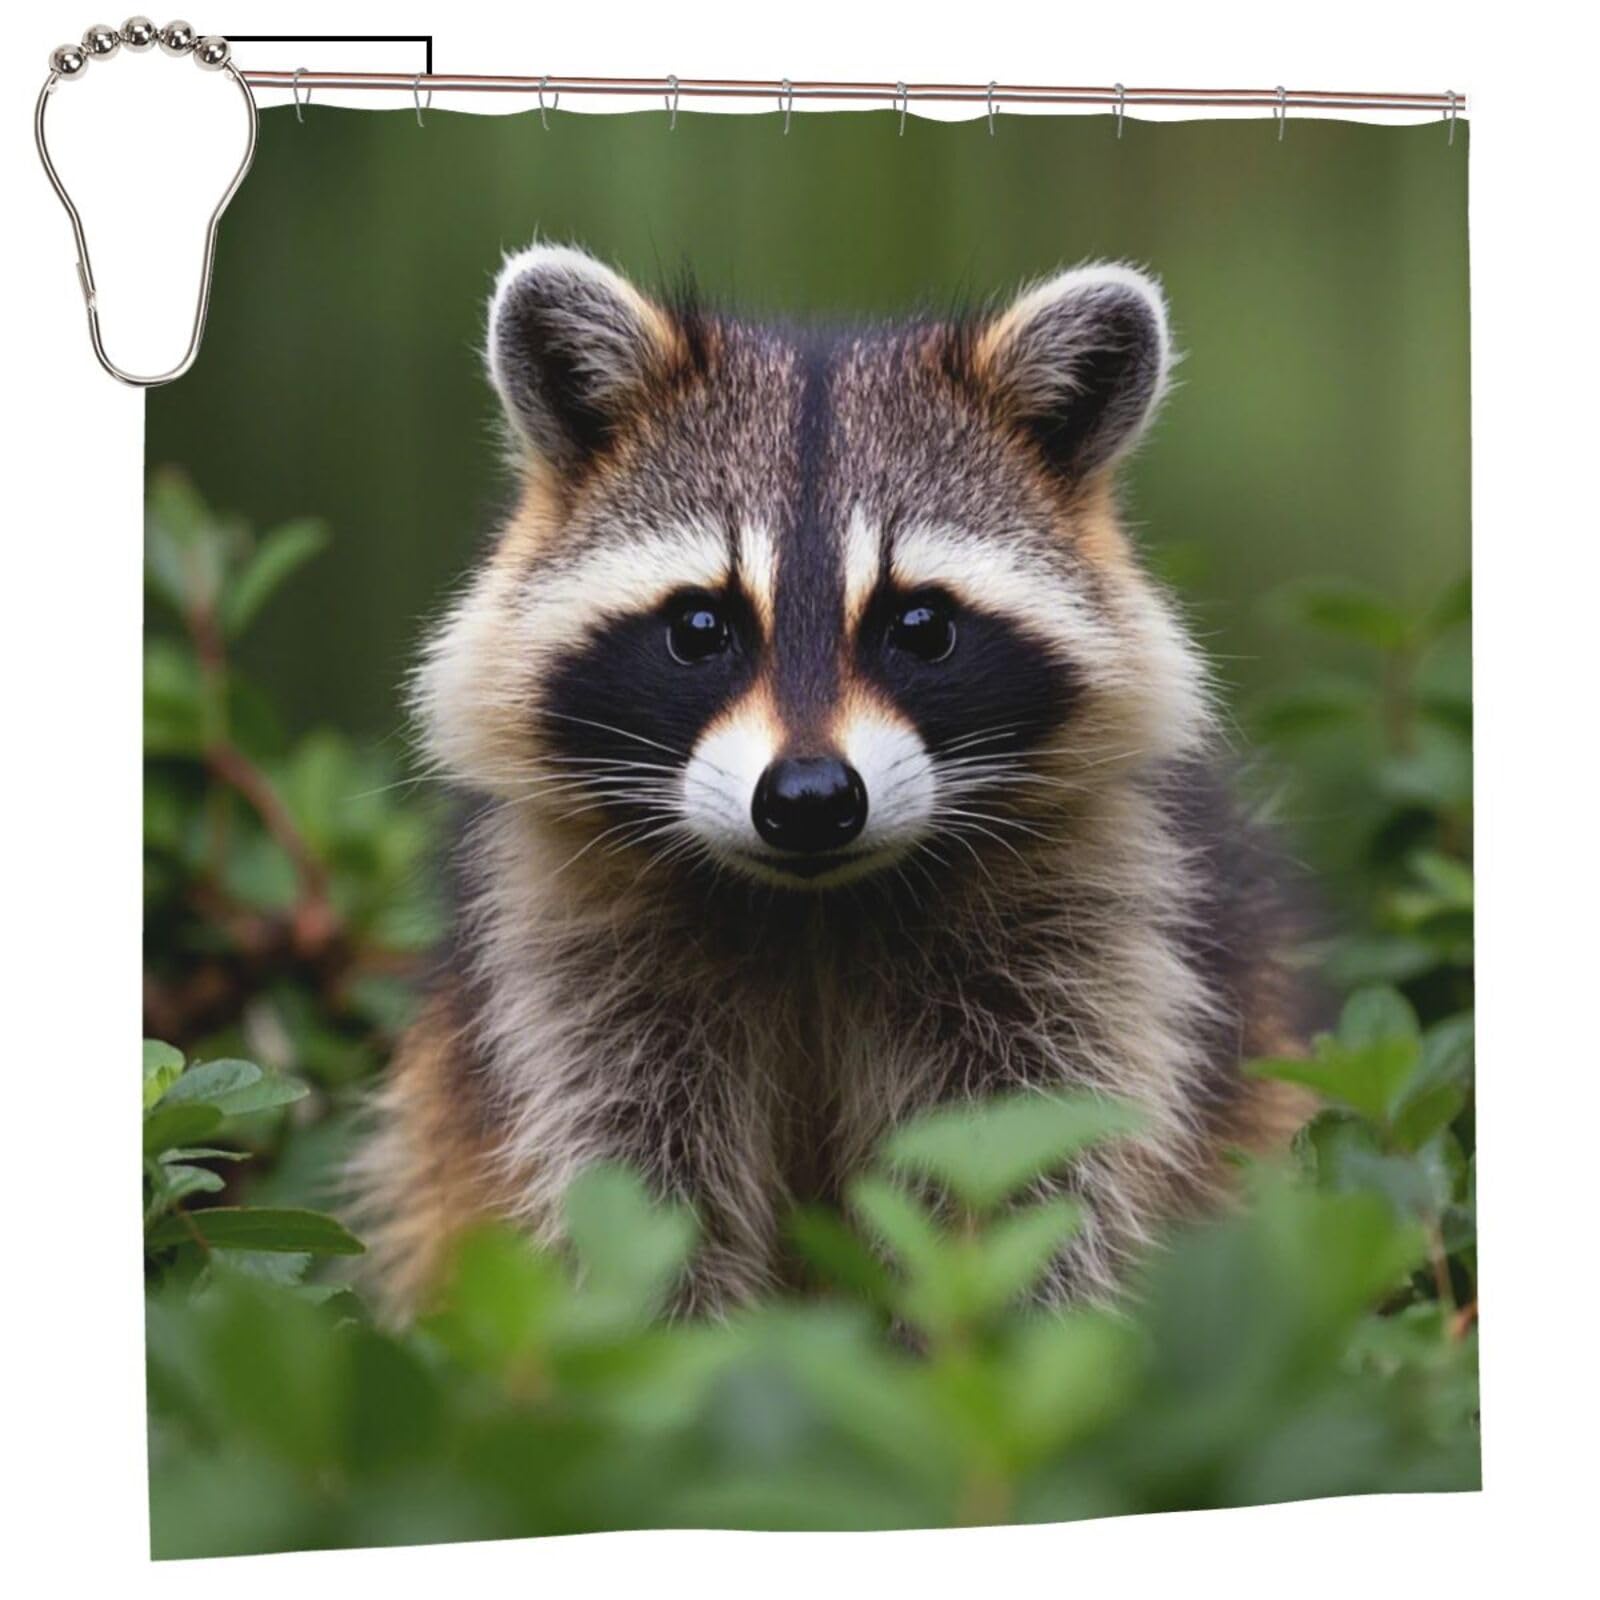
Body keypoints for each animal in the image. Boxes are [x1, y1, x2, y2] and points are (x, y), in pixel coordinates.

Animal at [357, 244, 1315, 1319]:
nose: (809, 800)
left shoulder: (1089, 934)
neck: (811, 906)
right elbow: (626, 1181)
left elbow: (1037, 1172)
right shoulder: (569, 957)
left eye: (921, 626)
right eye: (701, 627)